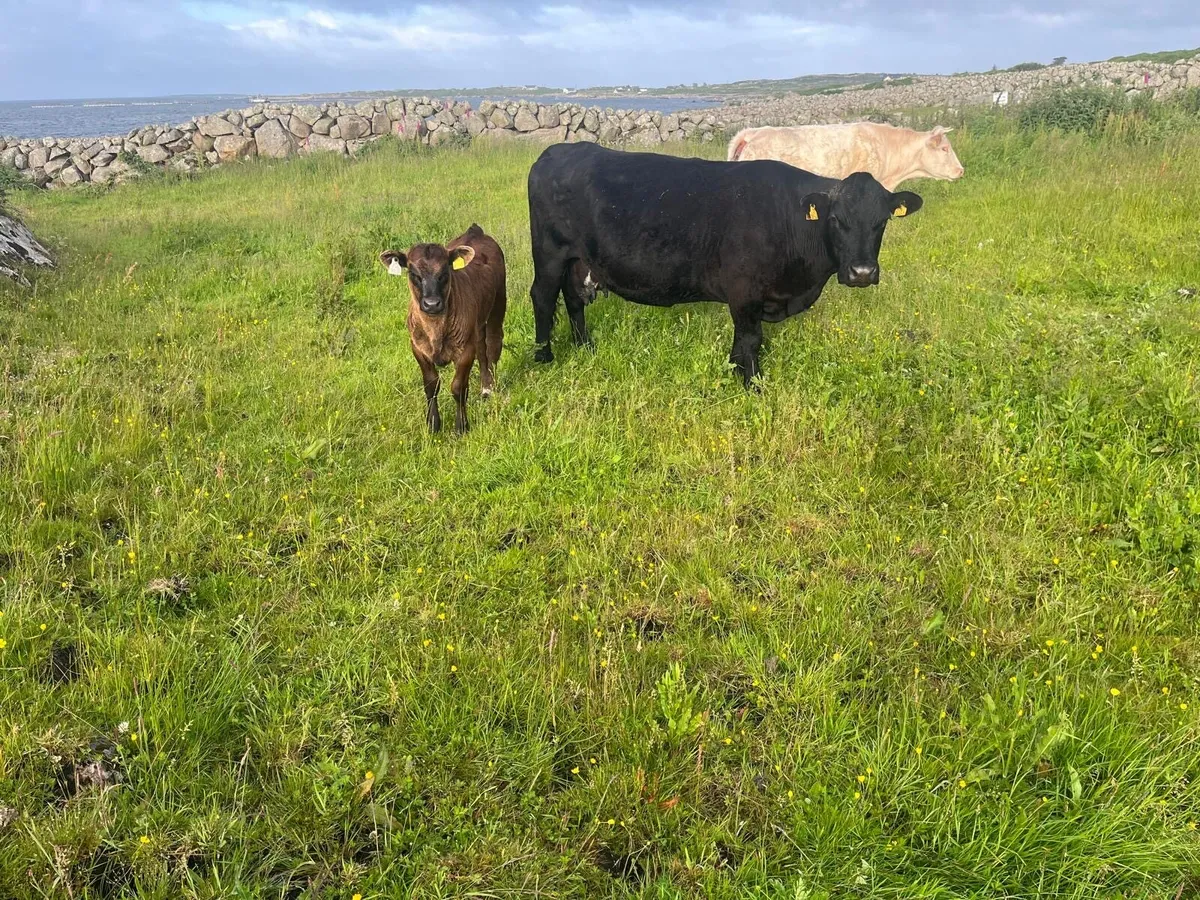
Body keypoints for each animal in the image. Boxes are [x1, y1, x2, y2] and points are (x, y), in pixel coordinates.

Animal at [379, 224, 506, 434]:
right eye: (413, 273)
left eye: (445, 271)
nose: (432, 304)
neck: (435, 329)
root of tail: (475, 232)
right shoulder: (418, 348)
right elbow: (431, 385)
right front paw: (432, 424)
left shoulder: (465, 351)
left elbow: (458, 388)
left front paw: (461, 426)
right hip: (478, 324)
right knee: (482, 348)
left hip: (499, 303)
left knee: (493, 344)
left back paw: (490, 387)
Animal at [527, 142, 922, 388]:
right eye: (837, 220)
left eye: (882, 221)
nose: (862, 273)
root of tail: (559, 150)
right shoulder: (744, 290)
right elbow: (751, 338)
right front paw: (752, 384)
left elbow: (742, 340)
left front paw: (734, 371)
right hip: (549, 253)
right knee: (543, 297)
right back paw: (543, 356)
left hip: (577, 259)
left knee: (573, 298)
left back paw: (584, 347)